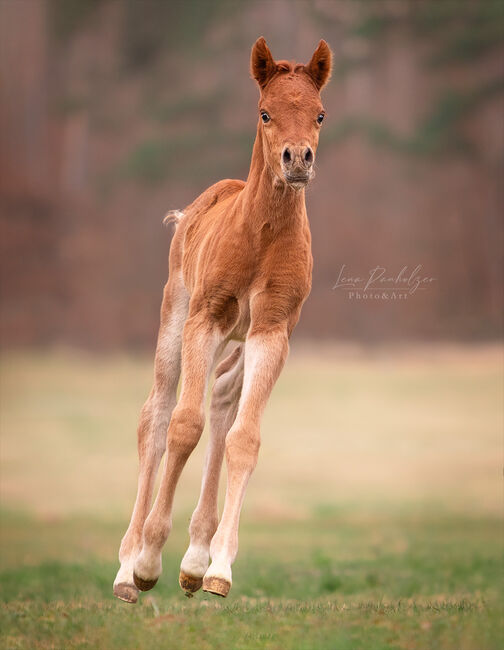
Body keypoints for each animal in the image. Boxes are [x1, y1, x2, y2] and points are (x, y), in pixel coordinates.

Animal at [112, 36, 330, 604]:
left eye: (320, 113)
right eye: (266, 112)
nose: (297, 160)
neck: (260, 235)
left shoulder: (272, 330)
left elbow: (244, 438)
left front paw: (217, 570)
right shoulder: (205, 319)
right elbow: (184, 426)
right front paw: (148, 563)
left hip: (241, 339)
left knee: (226, 396)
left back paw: (193, 560)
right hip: (176, 314)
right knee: (157, 415)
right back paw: (126, 569)